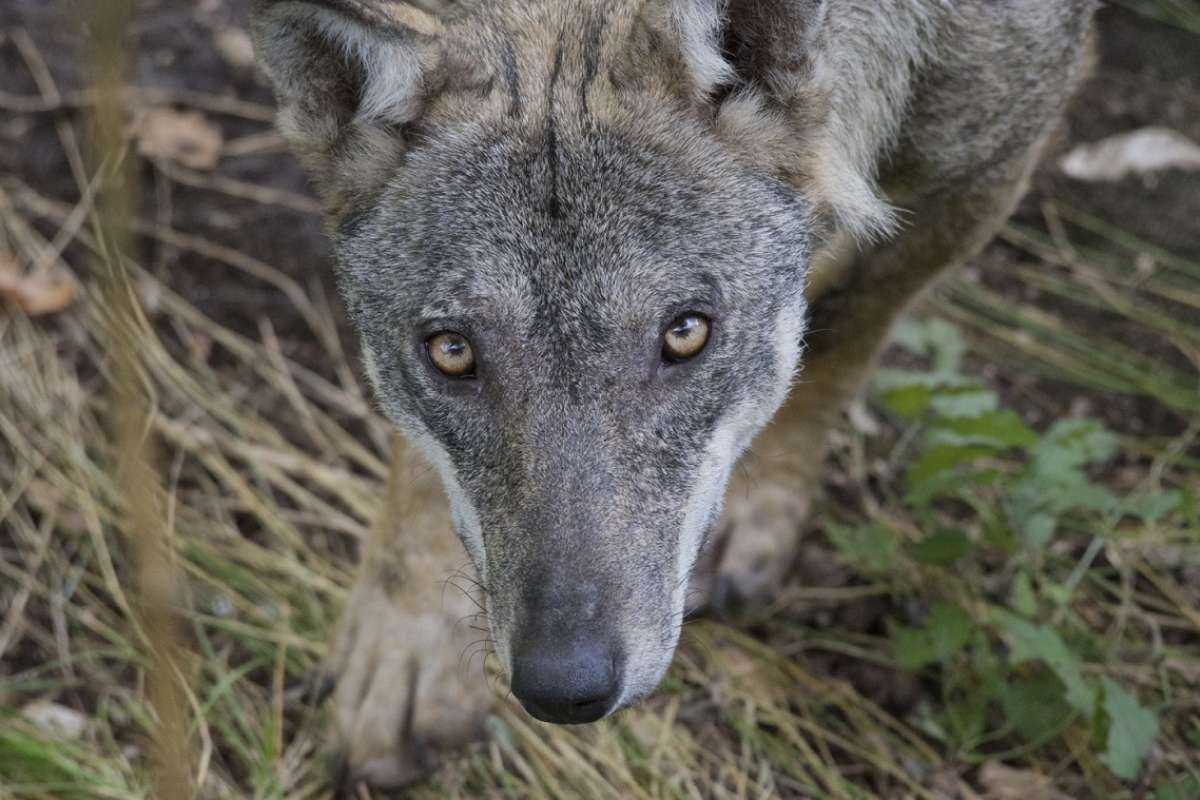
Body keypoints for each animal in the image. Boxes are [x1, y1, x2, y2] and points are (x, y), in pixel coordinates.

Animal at [248, 0, 1094, 786]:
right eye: (452, 353)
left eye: (685, 334)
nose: (564, 687)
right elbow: (422, 474)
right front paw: (408, 650)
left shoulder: (980, 173)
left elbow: (842, 342)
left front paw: (758, 507)